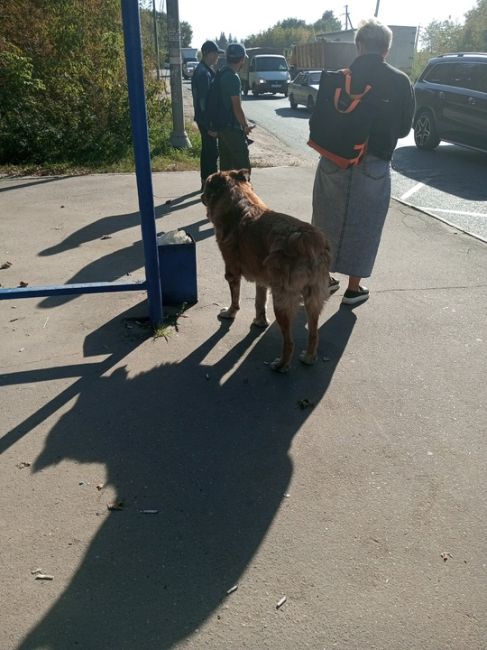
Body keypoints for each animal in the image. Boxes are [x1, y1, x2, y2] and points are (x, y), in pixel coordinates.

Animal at [202, 168, 332, 370]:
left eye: (206, 185)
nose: (201, 196)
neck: (240, 202)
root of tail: (308, 240)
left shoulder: (232, 272)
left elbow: (235, 299)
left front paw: (230, 313)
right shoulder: (262, 280)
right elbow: (259, 302)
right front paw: (260, 322)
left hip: (282, 301)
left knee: (289, 341)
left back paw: (281, 365)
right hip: (313, 298)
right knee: (313, 333)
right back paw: (309, 357)